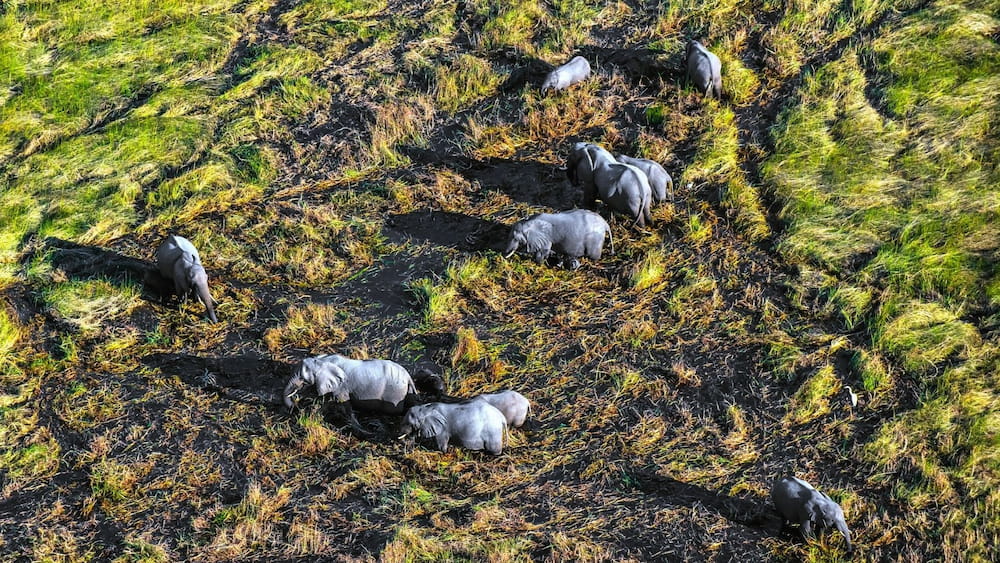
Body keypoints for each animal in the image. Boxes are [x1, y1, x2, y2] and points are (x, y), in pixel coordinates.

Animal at [283, 354, 417, 434]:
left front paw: (364, 431)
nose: (295, 408)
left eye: (303, 379)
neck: (322, 360)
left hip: (395, 393)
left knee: (392, 412)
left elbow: (344, 405)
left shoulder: (341, 386)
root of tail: (408, 376)